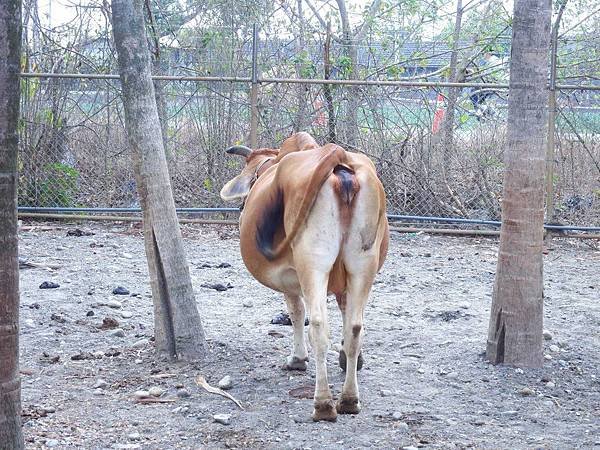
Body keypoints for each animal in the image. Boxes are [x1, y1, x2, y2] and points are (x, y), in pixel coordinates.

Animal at [220, 132, 390, 420]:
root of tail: (337, 154)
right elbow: (346, 315)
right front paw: (350, 360)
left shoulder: (289, 279)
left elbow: (296, 312)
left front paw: (297, 359)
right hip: (362, 263)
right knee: (355, 327)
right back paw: (349, 399)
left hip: (312, 263)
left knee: (319, 325)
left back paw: (323, 404)